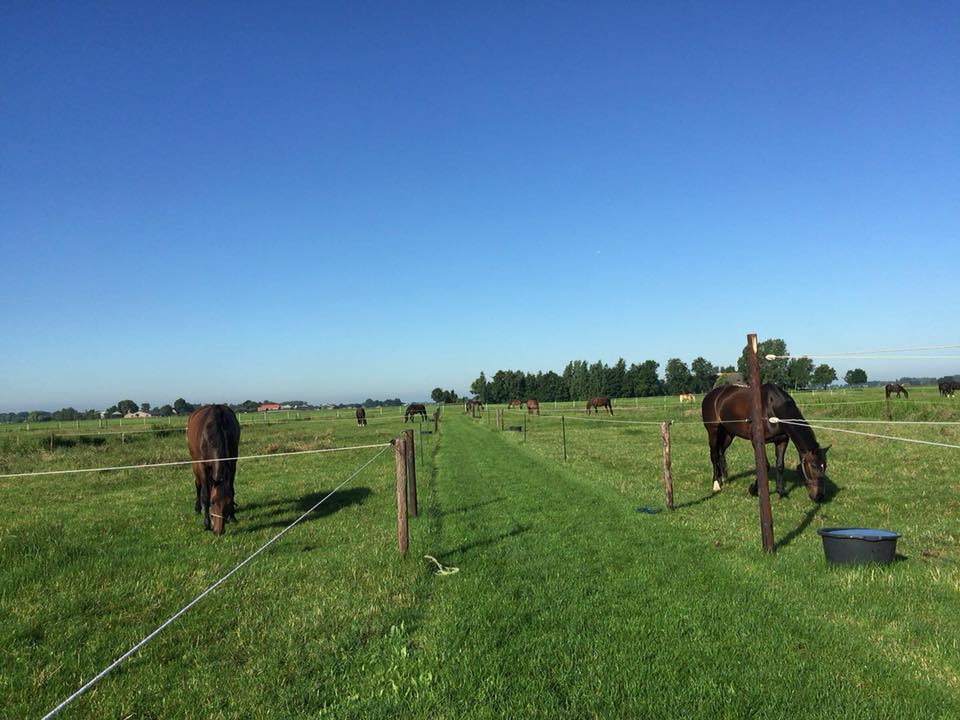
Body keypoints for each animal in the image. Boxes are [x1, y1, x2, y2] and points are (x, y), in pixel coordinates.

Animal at [187, 404, 240, 536]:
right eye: (213, 502)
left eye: (228, 502)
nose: (219, 531)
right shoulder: (202, 466)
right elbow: (205, 494)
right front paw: (206, 524)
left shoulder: (233, 462)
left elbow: (231, 489)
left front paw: (232, 516)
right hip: (194, 462)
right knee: (198, 484)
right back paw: (198, 508)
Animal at [700, 382, 828, 500]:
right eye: (813, 466)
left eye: (825, 466)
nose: (819, 496)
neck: (770, 409)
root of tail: (711, 395)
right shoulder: (756, 442)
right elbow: (765, 466)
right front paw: (753, 490)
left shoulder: (782, 441)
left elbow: (780, 465)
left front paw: (780, 491)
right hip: (713, 432)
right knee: (714, 455)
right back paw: (716, 484)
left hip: (729, 434)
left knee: (721, 452)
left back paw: (724, 477)